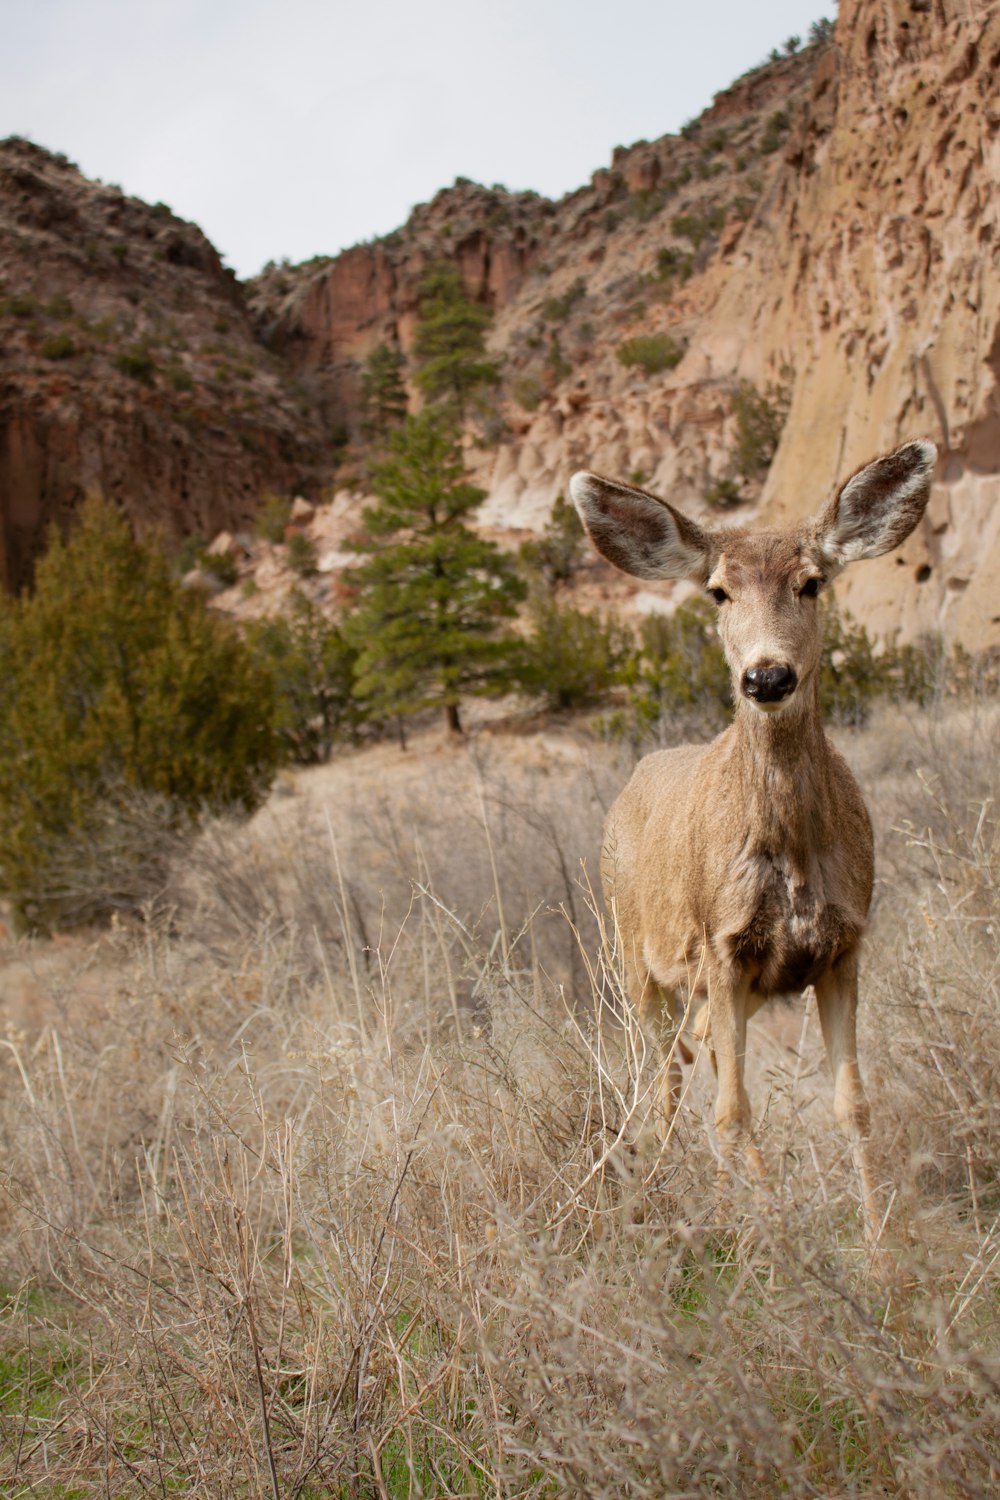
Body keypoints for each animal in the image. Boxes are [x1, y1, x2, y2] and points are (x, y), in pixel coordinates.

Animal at [569, 438, 941, 1230]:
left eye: (812, 583)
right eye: (718, 592)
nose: (767, 676)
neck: (792, 858)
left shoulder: (843, 945)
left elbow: (853, 1106)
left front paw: (881, 1249)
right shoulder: (723, 945)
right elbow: (735, 1110)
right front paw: (772, 1233)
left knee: (695, 1054)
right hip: (629, 953)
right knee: (665, 1075)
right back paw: (658, 1180)